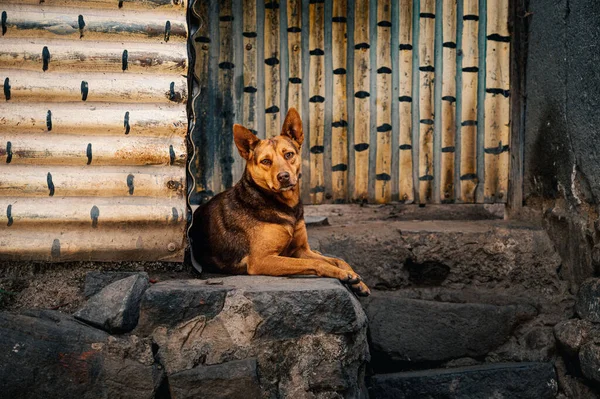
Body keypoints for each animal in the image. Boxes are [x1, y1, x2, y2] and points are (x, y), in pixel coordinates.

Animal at [190, 108, 370, 296]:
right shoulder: (262, 260)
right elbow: (317, 263)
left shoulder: (300, 249)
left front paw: (357, 280)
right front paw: (343, 274)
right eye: (265, 161)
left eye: (289, 154)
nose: (283, 177)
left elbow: (337, 260)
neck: (285, 206)